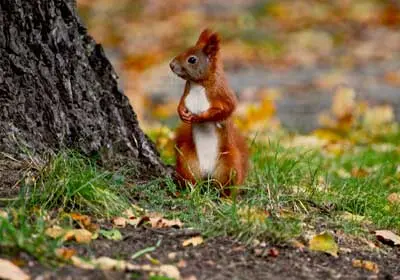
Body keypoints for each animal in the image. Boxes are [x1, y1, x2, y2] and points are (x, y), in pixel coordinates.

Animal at [168, 28, 247, 191]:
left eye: (192, 59)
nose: (171, 65)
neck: (198, 84)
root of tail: (207, 173)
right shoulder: (186, 93)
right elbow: (181, 104)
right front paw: (182, 113)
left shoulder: (222, 92)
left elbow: (227, 108)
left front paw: (200, 117)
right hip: (188, 162)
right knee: (191, 181)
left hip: (229, 165)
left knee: (226, 186)